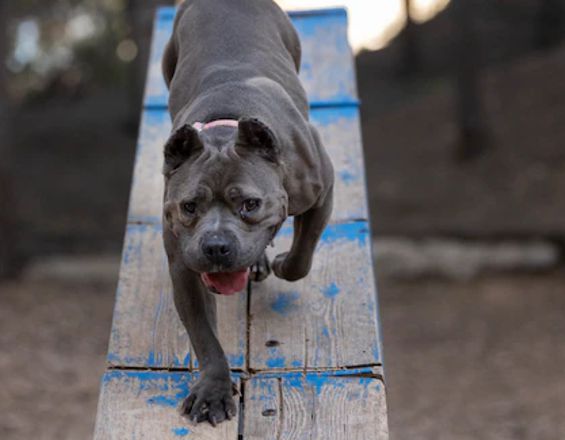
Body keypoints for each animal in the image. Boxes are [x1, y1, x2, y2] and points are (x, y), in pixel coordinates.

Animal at [161, 0, 332, 426]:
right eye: (189, 206)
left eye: (250, 204)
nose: (216, 246)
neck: (223, 129)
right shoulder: (184, 267)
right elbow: (205, 336)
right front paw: (213, 391)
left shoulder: (322, 191)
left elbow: (303, 255)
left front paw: (284, 261)